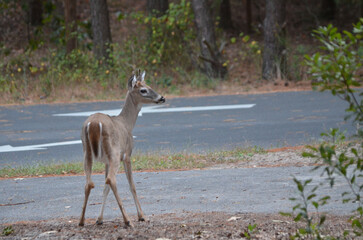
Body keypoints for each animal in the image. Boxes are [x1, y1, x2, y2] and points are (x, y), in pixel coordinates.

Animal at [79, 69, 166, 227]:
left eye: (149, 85)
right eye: (143, 90)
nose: (162, 98)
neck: (127, 123)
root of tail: (93, 124)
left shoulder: (106, 161)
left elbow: (105, 188)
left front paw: (99, 219)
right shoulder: (127, 154)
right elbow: (132, 185)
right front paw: (142, 216)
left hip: (86, 152)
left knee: (90, 183)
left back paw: (81, 221)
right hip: (114, 153)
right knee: (111, 179)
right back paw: (127, 220)